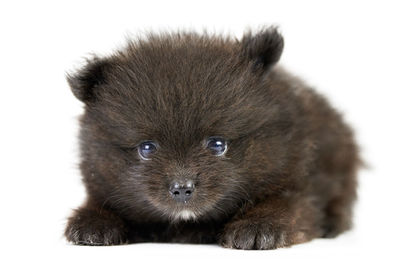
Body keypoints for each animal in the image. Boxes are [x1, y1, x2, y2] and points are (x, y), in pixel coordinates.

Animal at [65, 28, 360, 250]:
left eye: (217, 144)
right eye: (146, 148)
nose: (182, 188)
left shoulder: (298, 183)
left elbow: (286, 205)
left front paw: (258, 226)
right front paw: (93, 223)